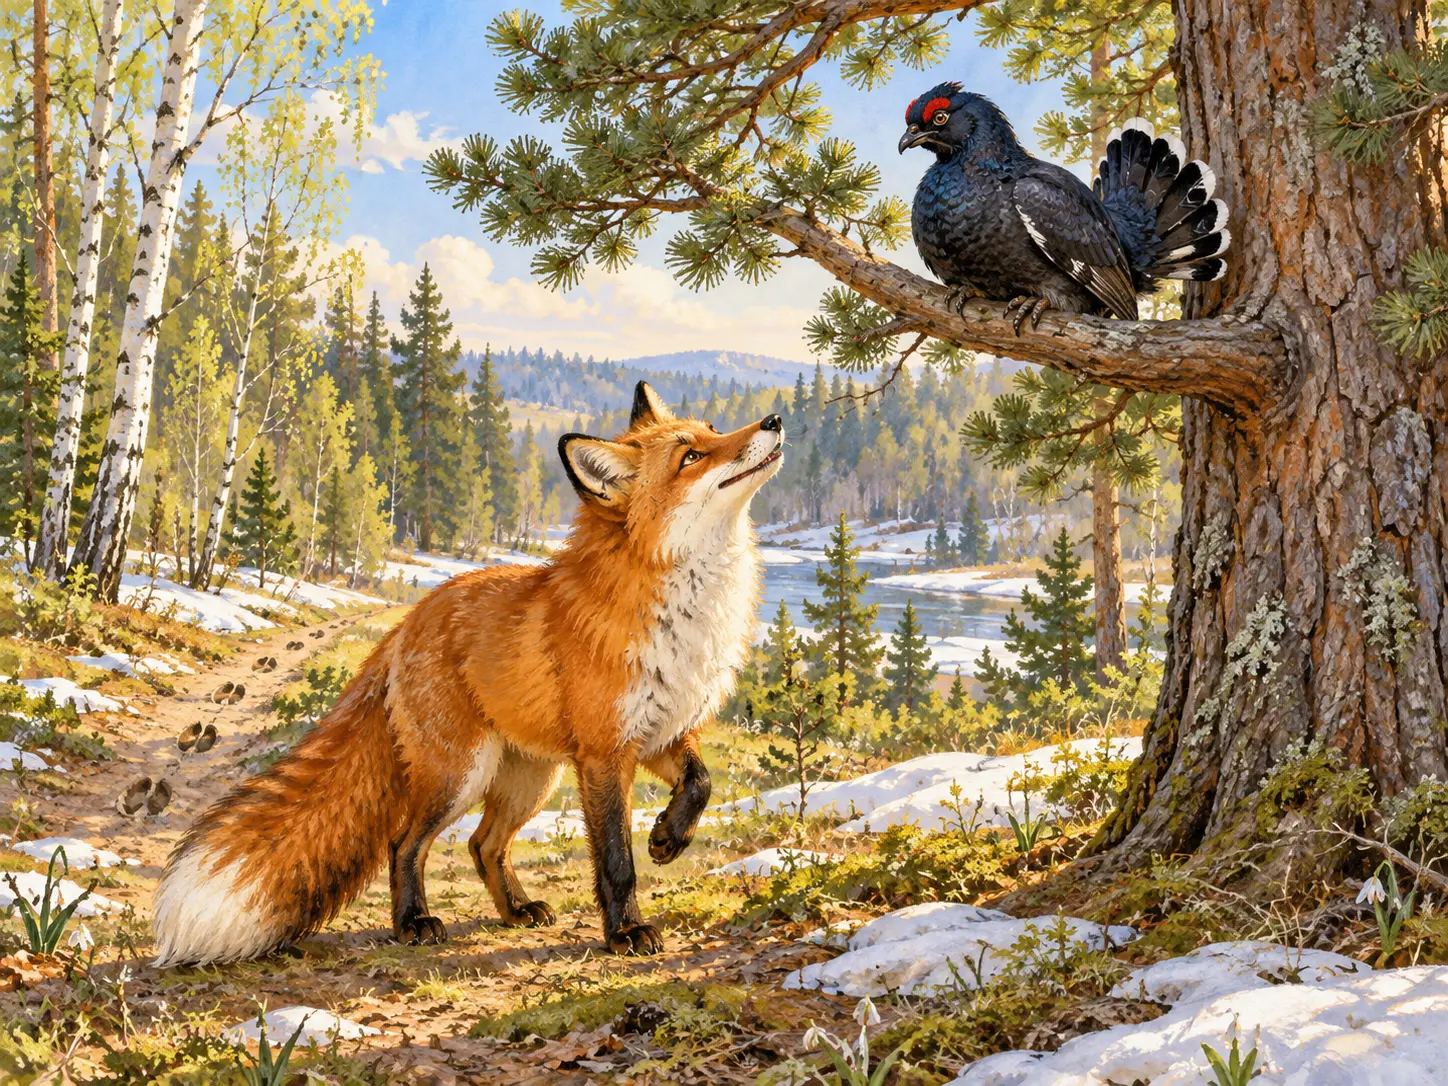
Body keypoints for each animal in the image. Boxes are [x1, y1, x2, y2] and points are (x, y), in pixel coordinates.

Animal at [151, 382, 784, 965]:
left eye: (713, 428)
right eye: (690, 456)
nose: (774, 420)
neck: (684, 613)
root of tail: (407, 623)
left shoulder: (661, 733)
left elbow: (701, 783)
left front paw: (669, 837)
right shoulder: (606, 751)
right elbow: (614, 859)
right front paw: (625, 932)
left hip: (532, 779)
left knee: (483, 844)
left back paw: (516, 910)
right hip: (460, 775)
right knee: (404, 842)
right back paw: (413, 922)